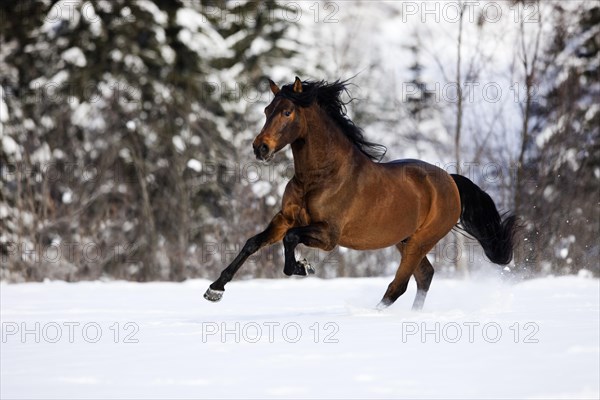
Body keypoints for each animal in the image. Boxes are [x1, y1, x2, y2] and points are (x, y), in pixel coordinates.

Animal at [204, 77, 516, 310]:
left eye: (287, 112)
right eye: (267, 110)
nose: (260, 148)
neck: (320, 177)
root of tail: (449, 180)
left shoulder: (329, 235)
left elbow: (291, 240)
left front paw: (303, 267)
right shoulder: (285, 219)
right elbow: (252, 243)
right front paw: (215, 289)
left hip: (421, 240)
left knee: (399, 285)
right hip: (404, 239)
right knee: (424, 276)